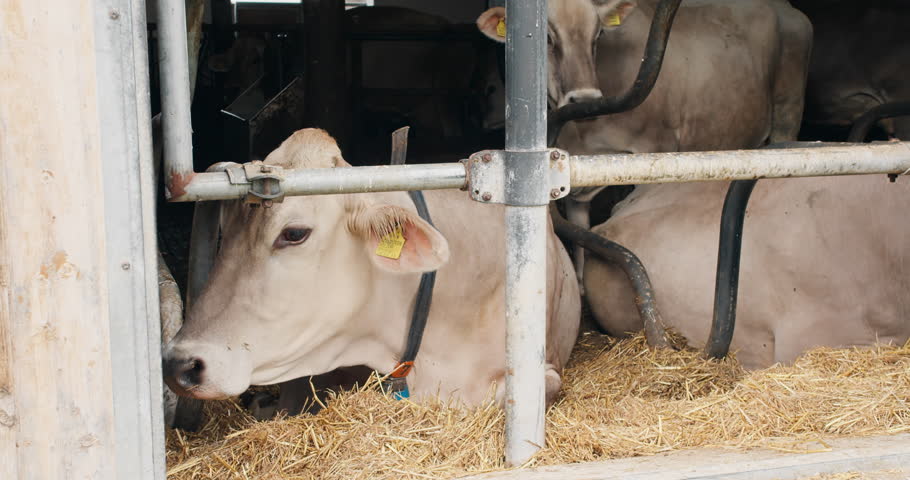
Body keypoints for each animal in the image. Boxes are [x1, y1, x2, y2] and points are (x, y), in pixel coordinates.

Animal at [476, 0, 813, 291]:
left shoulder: (655, 148)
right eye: (546, 36)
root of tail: (788, 9)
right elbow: (580, 231)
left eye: (598, 35)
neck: (582, 131)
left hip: (788, 111)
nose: (585, 98)